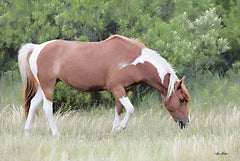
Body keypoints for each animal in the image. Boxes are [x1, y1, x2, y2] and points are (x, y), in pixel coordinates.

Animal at [18, 35, 190, 136]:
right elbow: (130, 109)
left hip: (44, 86)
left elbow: (118, 111)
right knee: (47, 108)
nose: (186, 122)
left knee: (33, 104)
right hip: (48, 85)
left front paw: (114, 131)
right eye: (181, 100)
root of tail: (37, 48)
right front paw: (120, 128)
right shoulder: (117, 89)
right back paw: (56, 134)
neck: (131, 59)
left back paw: (27, 132)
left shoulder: (123, 90)